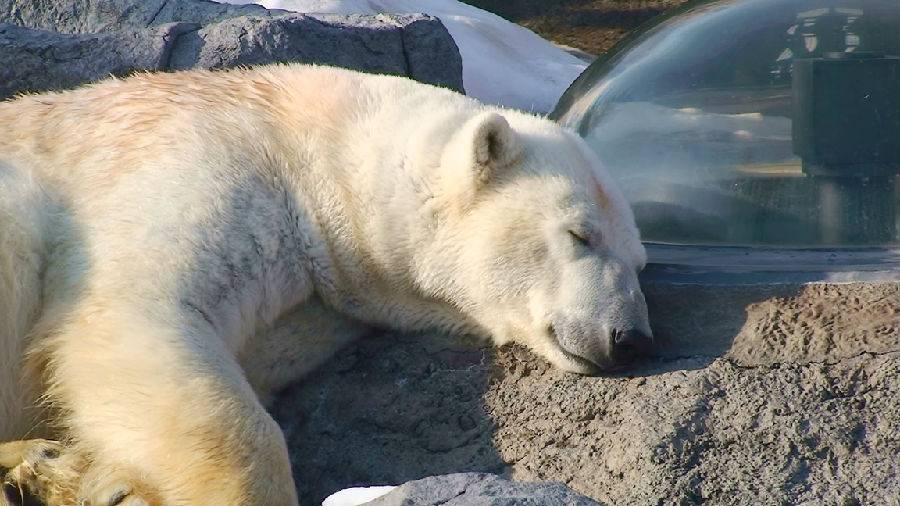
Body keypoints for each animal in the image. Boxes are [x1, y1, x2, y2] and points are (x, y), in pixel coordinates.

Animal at [0, 66, 648, 506]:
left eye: (640, 259)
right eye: (581, 234)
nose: (631, 338)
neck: (303, 147)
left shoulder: (317, 302)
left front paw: (109, 479)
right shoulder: (191, 163)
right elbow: (131, 315)